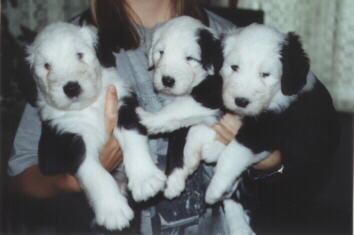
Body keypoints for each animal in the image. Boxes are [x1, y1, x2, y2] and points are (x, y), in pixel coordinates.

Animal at [25, 23, 167, 230]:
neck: (88, 107)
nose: (71, 88)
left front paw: (145, 179)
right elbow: (94, 172)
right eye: (46, 66)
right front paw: (113, 211)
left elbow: (132, 137)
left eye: (79, 55)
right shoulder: (66, 139)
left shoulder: (123, 105)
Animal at [136, 16, 224, 199]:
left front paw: (148, 119)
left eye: (189, 58)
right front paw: (174, 180)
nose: (167, 80)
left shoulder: (212, 94)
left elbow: (180, 109)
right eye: (161, 52)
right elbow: (177, 140)